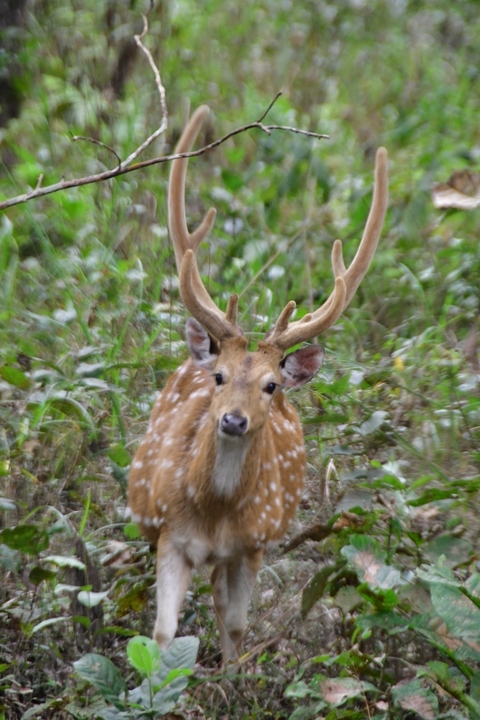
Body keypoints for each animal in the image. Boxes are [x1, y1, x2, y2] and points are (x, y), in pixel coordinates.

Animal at [128, 105, 388, 663]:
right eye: (220, 376)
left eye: (271, 386)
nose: (232, 419)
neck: (216, 513)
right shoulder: (169, 535)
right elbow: (162, 632)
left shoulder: (253, 545)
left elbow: (237, 626)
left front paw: (231, 677)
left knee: (223, 606)